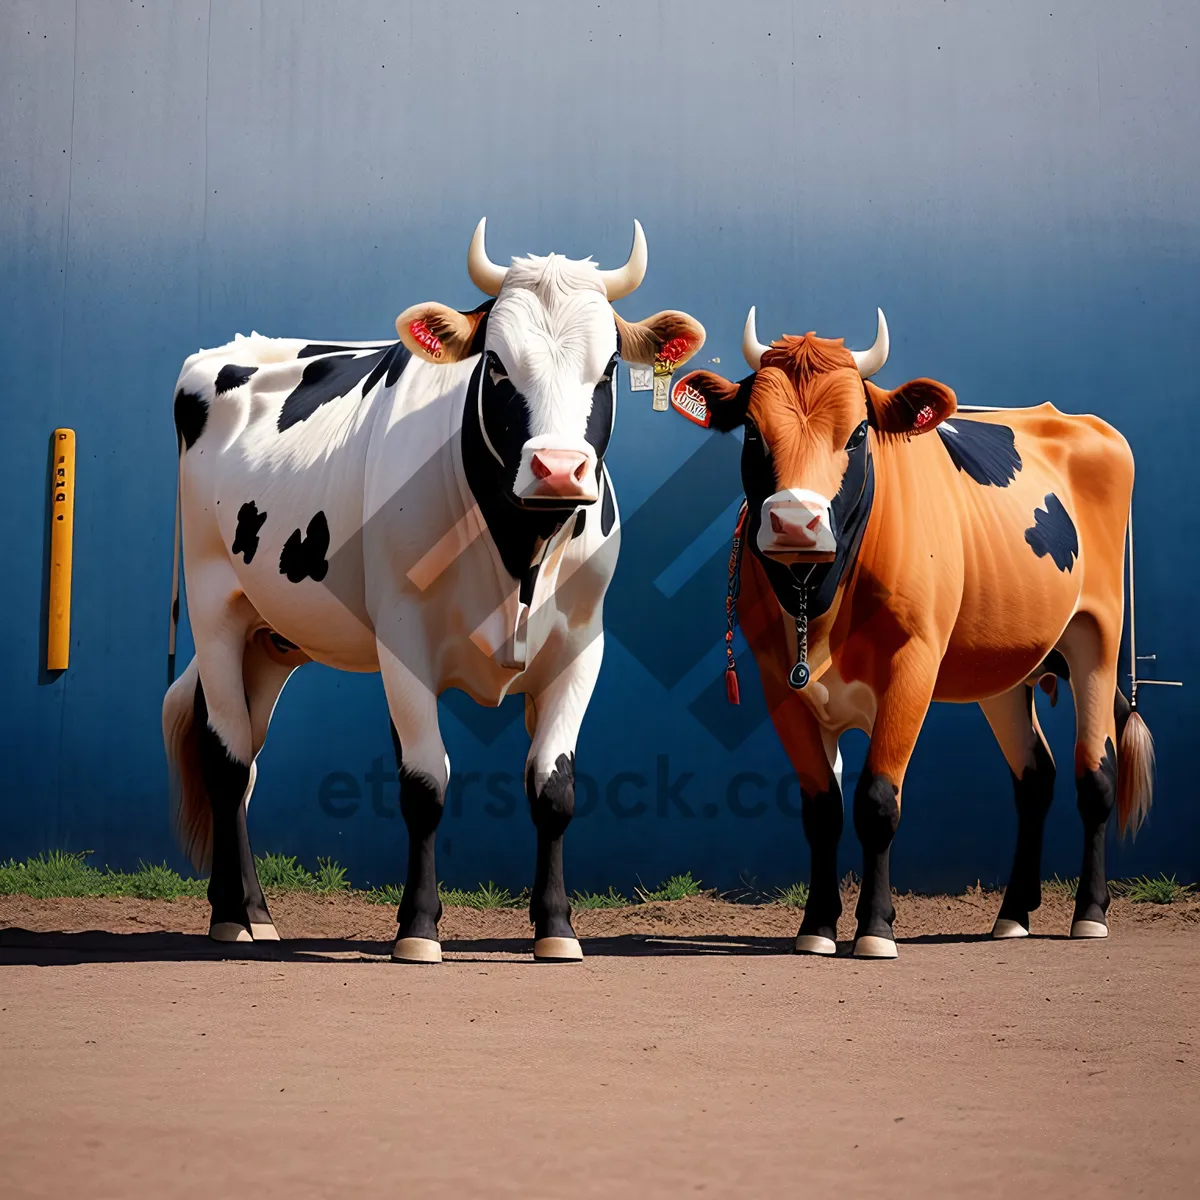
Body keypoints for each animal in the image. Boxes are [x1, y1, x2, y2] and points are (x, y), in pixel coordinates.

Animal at [159, 220, 700, 960]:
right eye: (495, 365)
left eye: (611, 367)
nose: (558, 469)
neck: (519, 556)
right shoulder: (403, 642)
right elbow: (424, 783)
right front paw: (417, 928)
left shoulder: (582, 646)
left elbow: (553, 787)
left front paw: (556, 928)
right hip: (215, 604)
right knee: (226, 757)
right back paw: (232, 918)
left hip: (271, 638)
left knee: (246, 759)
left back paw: (255, 911)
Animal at [676, 307, 1152, 955]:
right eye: (751, 432)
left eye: (857, 433)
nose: (796, 522)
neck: (817, 601)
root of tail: (1077, 422)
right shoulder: (778, 681)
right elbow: (821, 808)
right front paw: (817, 927)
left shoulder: (914, 663)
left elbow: (878, 800)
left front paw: (875, 928)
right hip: (1006, 669)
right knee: (1035, 778)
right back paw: (1012, 915)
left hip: (1096, 636)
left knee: (1095, 773)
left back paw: (1090, 914)